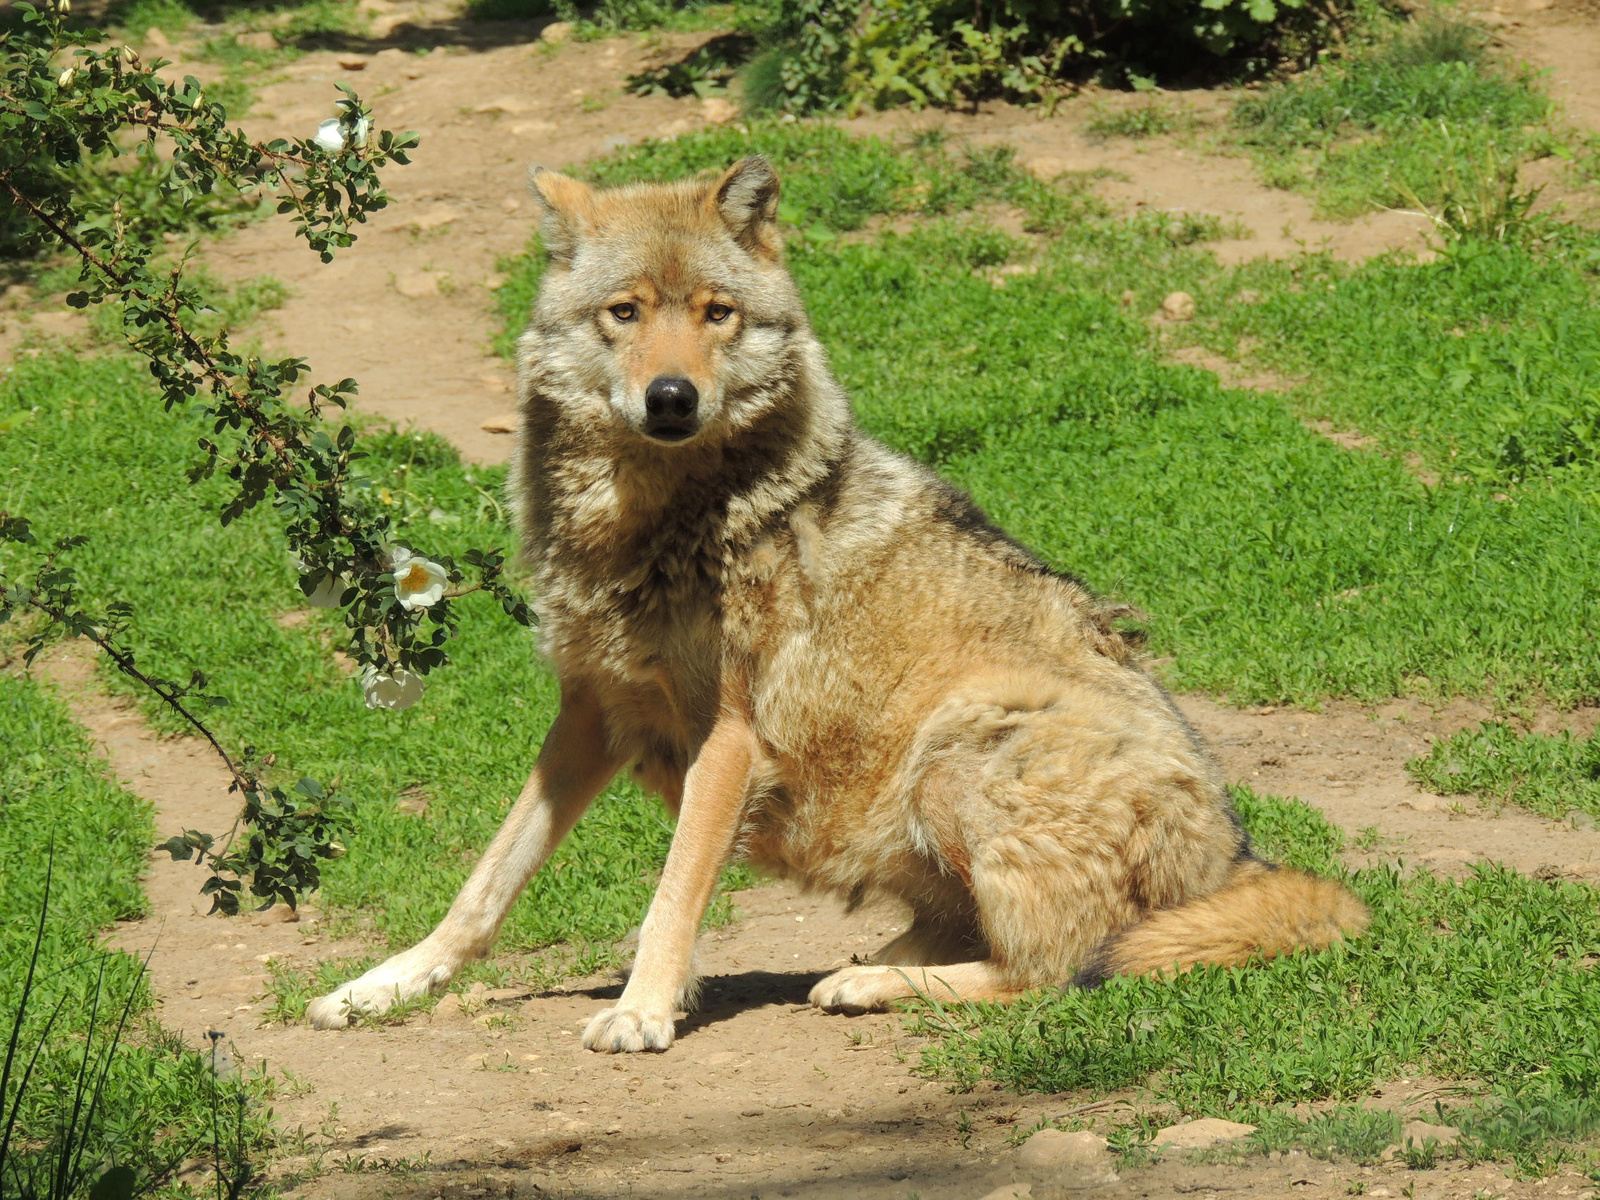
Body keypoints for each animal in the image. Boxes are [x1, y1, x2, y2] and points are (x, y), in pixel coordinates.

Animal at [300, 157, 1363, 1049]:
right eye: (624, 312)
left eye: (718, 313)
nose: (672, 397)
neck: (654, 529)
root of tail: (1239, 855)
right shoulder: (591, 715)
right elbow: (486, 882)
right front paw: (386, 985)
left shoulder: (730, 738)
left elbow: (671, 892)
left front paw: (642, 1012)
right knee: (985, 937)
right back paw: (866, 964)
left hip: (957, 748)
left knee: (1058, 968)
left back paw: (874, 984)